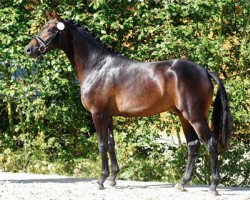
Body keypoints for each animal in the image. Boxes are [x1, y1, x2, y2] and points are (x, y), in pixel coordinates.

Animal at [24, 13, 231, 195]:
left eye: (50, 29)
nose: (29, 49)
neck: (97, 66)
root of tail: (204, 71)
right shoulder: (108, 115)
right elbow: (111, 144)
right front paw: (113, 179)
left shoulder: (97, 114)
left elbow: (101, 145)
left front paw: (101, 180)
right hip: (183, 117)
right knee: (193, 145)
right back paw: (182, 183)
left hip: (195, 116)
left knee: (210, 143)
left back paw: (213, 186)